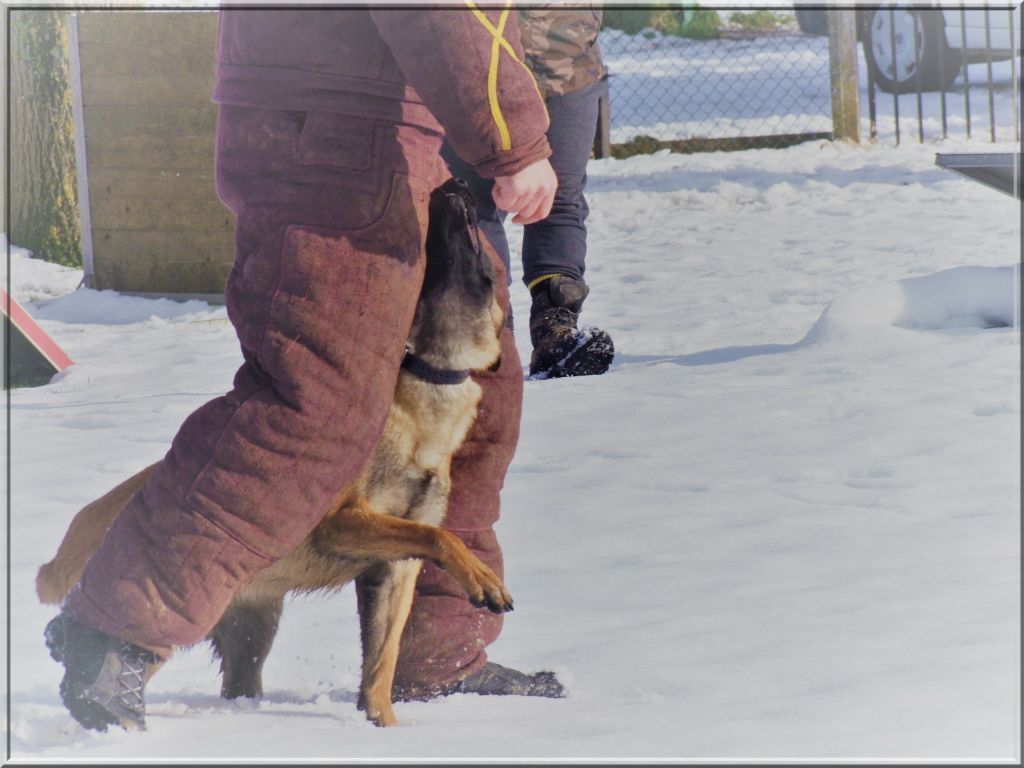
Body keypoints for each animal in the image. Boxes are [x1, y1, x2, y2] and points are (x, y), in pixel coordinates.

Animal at [37, 177, 512, 729]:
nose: (456, 182)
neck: (429, 377)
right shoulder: (341, 522)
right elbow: (439, 536)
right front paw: (483, 579)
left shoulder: (394, 573)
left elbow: (382, 662)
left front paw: (382, 728)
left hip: (252, 631)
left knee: (238, 681)